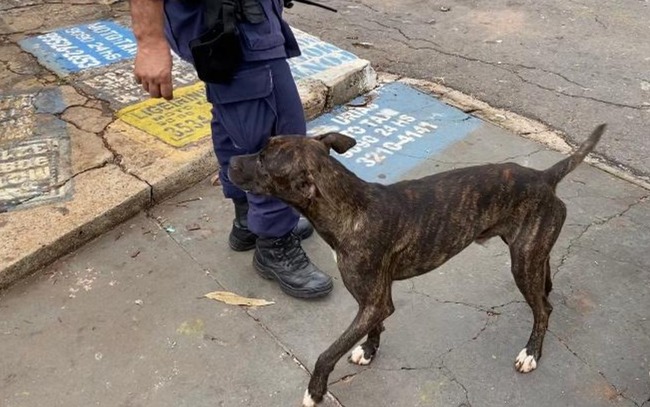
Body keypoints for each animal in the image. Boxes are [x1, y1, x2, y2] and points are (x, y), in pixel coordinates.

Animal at [227, 125, 604, 407]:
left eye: (263, 160)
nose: (229, 161)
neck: (349, 207)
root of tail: (544, 176)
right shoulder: (376, 301)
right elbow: (373, 328)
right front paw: (369, 350)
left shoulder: (374, 302)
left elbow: (327, 352)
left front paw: (315, 391)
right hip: (530, 252)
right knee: (545, 284)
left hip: (522, 265)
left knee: (543, 309)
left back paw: (531, 352)